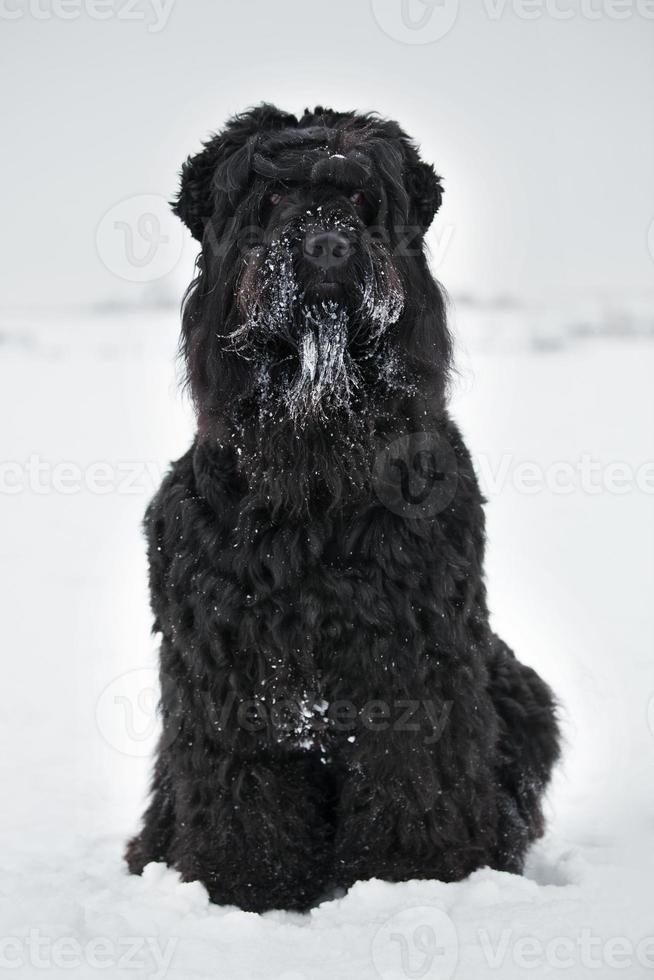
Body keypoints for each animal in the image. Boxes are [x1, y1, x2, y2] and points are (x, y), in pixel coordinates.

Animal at [128, 103, 564, 916]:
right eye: (268, 196)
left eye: (364, 199)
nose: (328, 243)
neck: (317, 475)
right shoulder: (223, 665)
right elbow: (240, 788)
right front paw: (247, 887)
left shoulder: (414, 659)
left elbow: (411, 774)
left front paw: (408, 878)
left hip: (517, 688)